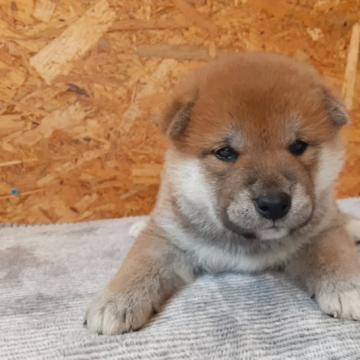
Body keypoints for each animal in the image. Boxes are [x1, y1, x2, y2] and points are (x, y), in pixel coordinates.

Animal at [86, 52, 360, 334]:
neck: (247, 241)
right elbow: (139, 263)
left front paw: (347, 288)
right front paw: (117, 300)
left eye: (298, 146)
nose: (274, 204)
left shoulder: (322, 232)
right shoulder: (166, 238)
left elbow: (334, 255)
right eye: (225, 152)